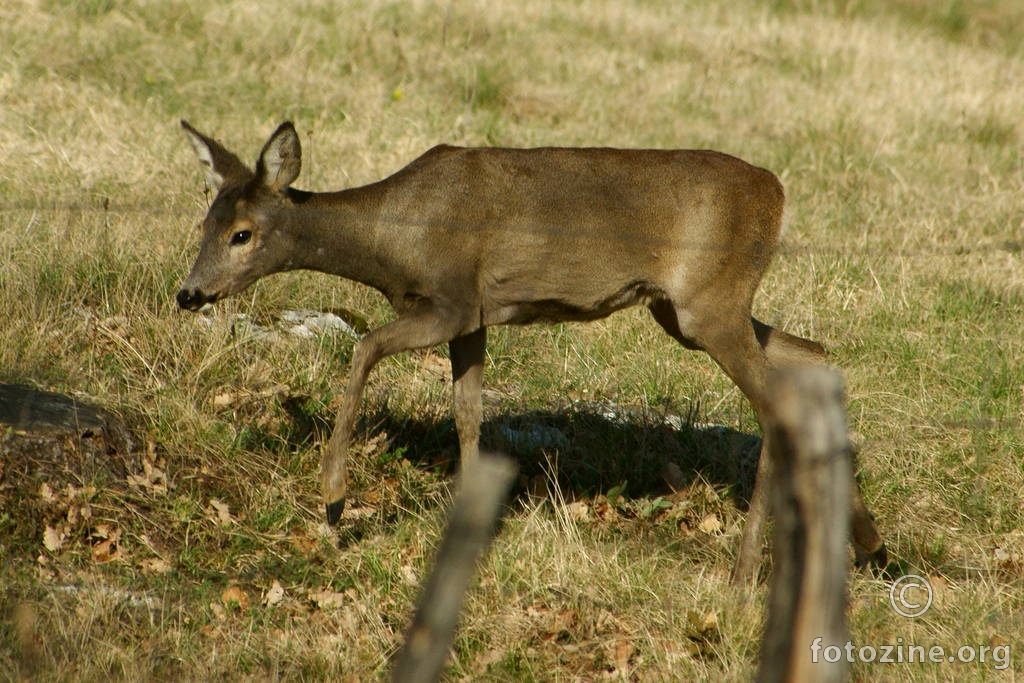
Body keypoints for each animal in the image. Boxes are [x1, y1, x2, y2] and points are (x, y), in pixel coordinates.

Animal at [172, 121, 884, 581]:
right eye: (205, 220)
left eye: (242, 233)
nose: (189, 293)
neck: (392, 239)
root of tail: (777, 191)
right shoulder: (473, 316)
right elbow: (467, 409)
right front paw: (467, 518)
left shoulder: (450, 299)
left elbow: (365, 349)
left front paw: (334, 499)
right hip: (689, 309)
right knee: (814, 353)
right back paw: (869, 546)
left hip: (709, 302)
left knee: (774, 401)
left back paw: (744, 570)